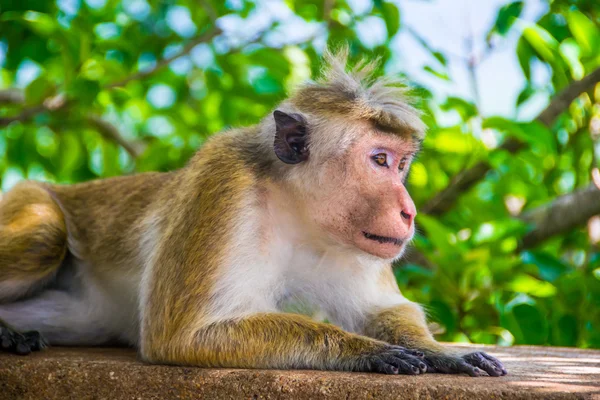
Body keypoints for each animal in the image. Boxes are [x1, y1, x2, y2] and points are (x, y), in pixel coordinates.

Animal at [0, 49, 506, 376]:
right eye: (379, 160)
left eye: (402, 165)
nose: (408, 210)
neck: (296, 213)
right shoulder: (222, 185)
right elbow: (184, 334)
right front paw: (368, 351)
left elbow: (382, 308)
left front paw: (443, 354)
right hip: (25, 200)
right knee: (43, 234)